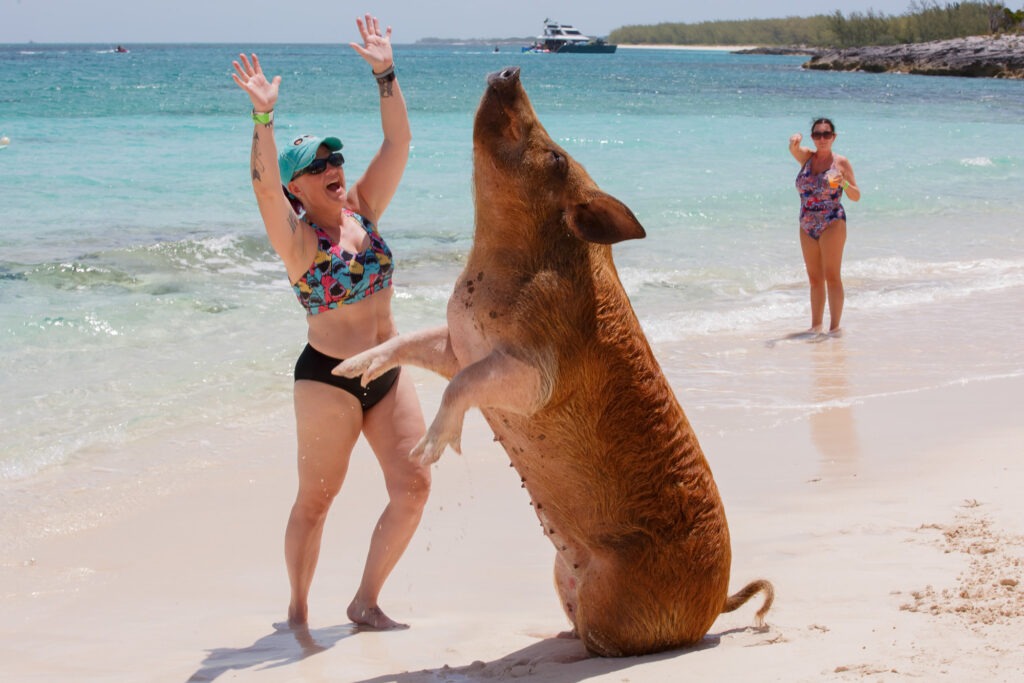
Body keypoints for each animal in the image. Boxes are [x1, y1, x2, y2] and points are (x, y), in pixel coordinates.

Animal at [335, 66, 773, 656]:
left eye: (559, 158)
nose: (511, 69)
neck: (497, 253)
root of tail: (716, 604)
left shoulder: (537, 370)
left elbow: (464, 384)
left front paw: (429, 450)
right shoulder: (458, 342)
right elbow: (412, 344)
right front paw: (350, 368)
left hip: (617, 606)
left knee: (600, 640)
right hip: (558, 573)